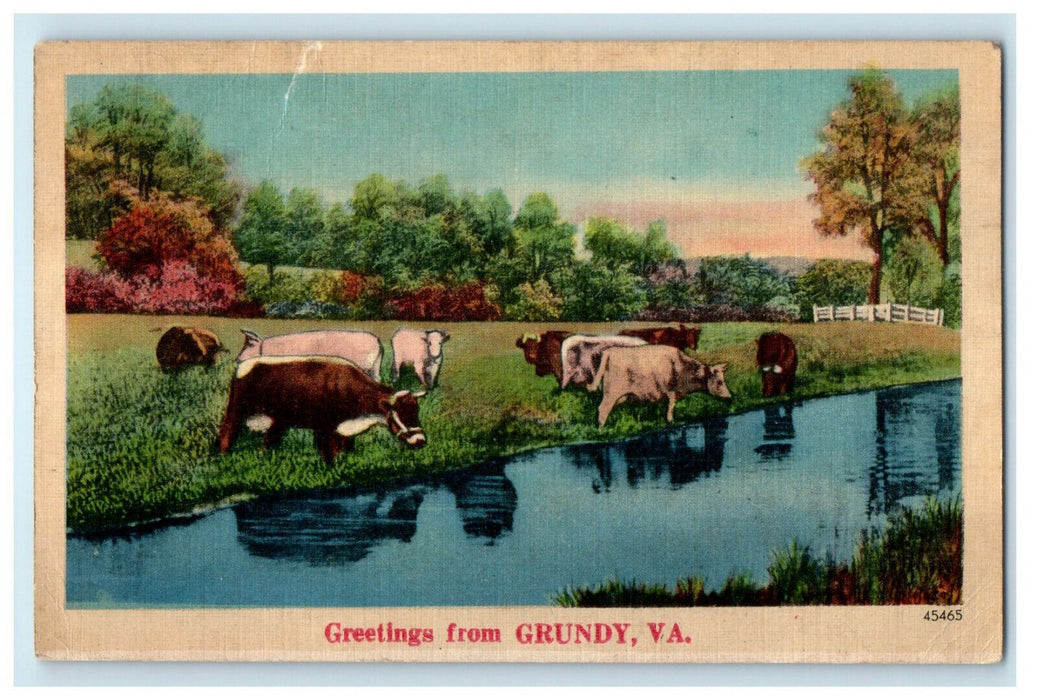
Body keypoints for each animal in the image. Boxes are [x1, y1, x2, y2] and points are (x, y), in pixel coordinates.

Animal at [216, 356, 427, 464]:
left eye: (416, 413)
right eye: (400, 414)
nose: (421, 441)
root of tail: (244, 364)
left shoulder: (343, 428)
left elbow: (344, 448)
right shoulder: (325, 427)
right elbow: (329, 452)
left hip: (279, 420)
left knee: (269, 440)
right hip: (236, 409)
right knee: (226, 433)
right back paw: (222, 458)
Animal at [589, 344, 734, 427]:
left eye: (723, 380)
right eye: (720, 382)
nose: (729, 397)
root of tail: (610, 351)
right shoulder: (671, 392)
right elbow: (670, 408)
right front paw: (670, 422)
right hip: (611, 392)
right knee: (602, 408)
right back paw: (601, 429)